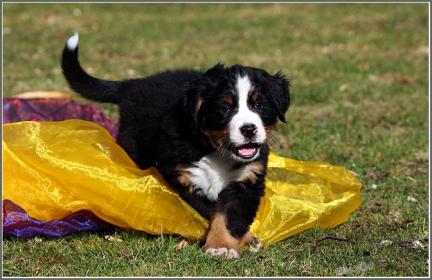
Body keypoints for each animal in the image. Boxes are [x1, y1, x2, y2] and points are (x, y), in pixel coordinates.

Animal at [60, 32, 290, 258]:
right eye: (225, 108)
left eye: (259, 104)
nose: (249, 129)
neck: (215, 151)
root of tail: (134, 83)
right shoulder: (185, 179)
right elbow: (211, 212)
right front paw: (222, 246)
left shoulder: (248, 180)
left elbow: (227, 215)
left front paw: (230, 242)